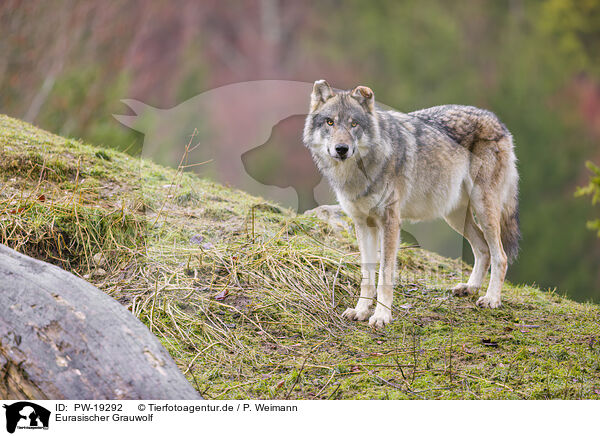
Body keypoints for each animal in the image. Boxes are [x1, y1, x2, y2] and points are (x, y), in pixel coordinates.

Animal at [302, 81, 516, 328]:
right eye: (330, 122)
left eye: (354, 124)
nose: (342, 149)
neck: (358, 173)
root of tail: (496, 120)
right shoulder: (363, 224)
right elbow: (367, 275)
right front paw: (361, 311)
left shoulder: (390, 222)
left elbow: (385, 273)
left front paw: (381, 316)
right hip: (454, 216)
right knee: (483, 249)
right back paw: (469, 288)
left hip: (483, 208)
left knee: (501, 256)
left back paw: (491, 299)